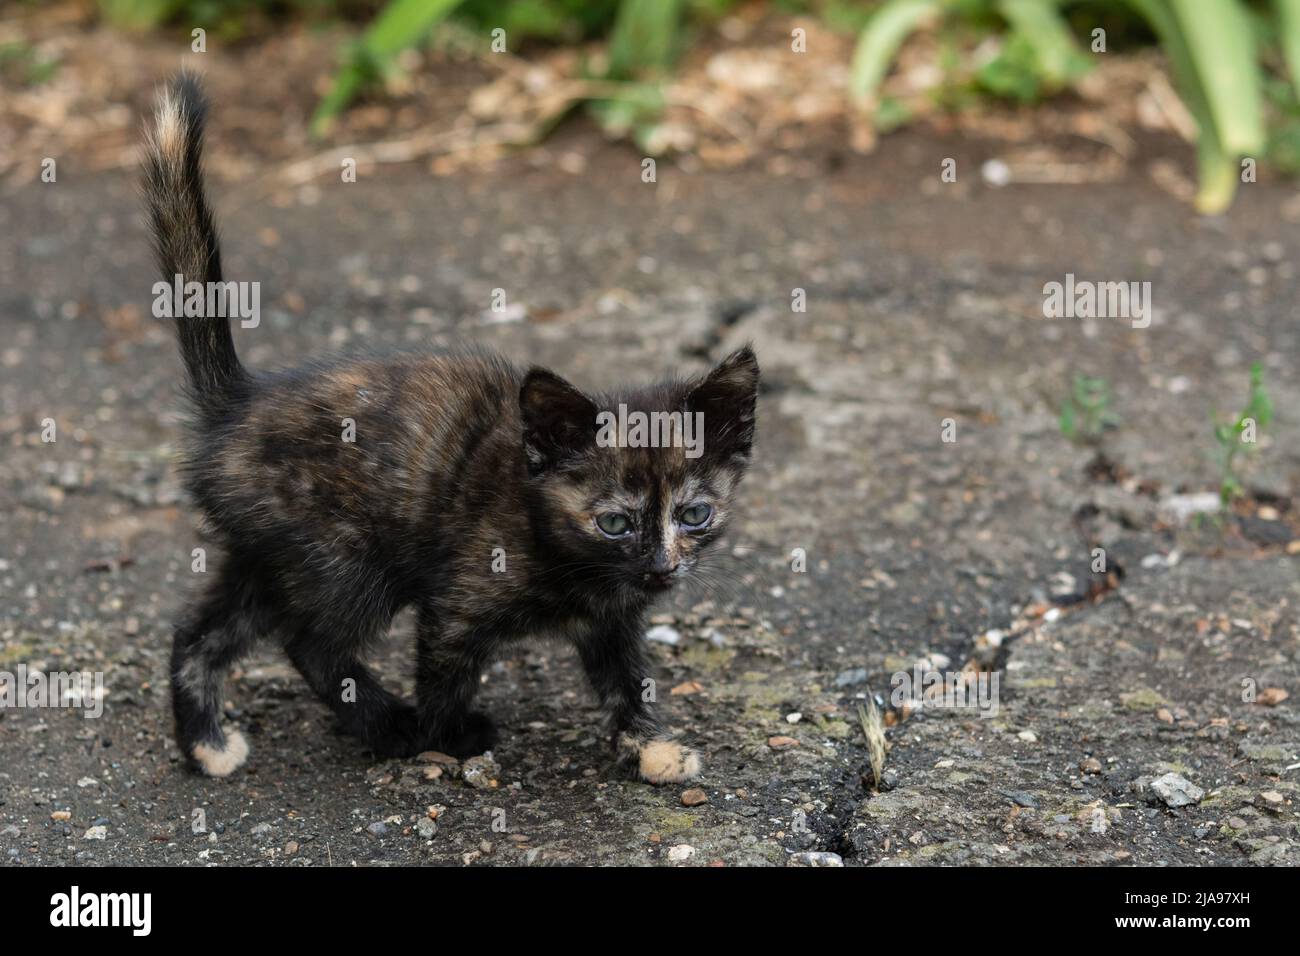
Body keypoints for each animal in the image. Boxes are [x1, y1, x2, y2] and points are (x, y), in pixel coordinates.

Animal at [141, 74, 759, 785]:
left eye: (694, 514)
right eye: (615, 523)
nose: (661, 568)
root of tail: (237, 404)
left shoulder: (612, 622)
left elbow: (626, 679)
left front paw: (649, 746)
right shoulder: (459, 598)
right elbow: (444, 669)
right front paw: (447, 737)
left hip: (269, 550)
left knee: (200, 630)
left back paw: (206, 743)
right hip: (343, 555)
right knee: (311, 643)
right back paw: (389, 725)